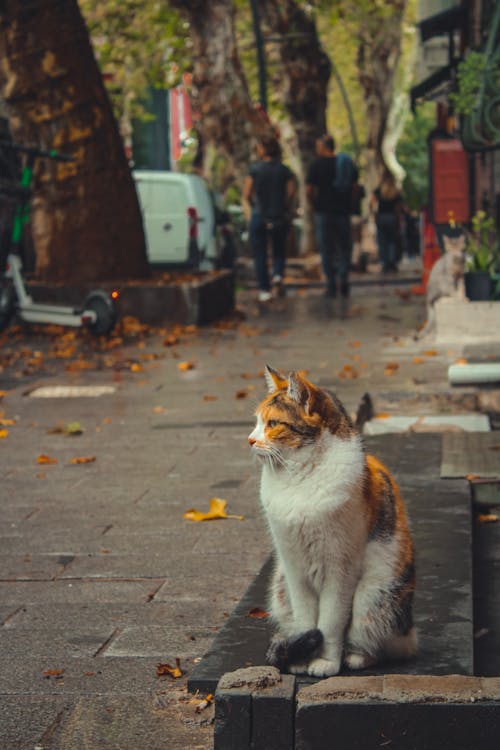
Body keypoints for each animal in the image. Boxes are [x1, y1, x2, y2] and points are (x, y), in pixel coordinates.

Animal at [248, 370, 416, 680]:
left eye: (273, 424)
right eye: (256, 422)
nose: (250, 440)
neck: (297, 479)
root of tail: (411, 634)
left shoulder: (340, 570)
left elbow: (330, 622)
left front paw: (325, 661)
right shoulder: (293, 567)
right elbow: (306, 620)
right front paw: (302, 657)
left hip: (372, 593)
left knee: (378, 642)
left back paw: (356, 657)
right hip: (280, 588)